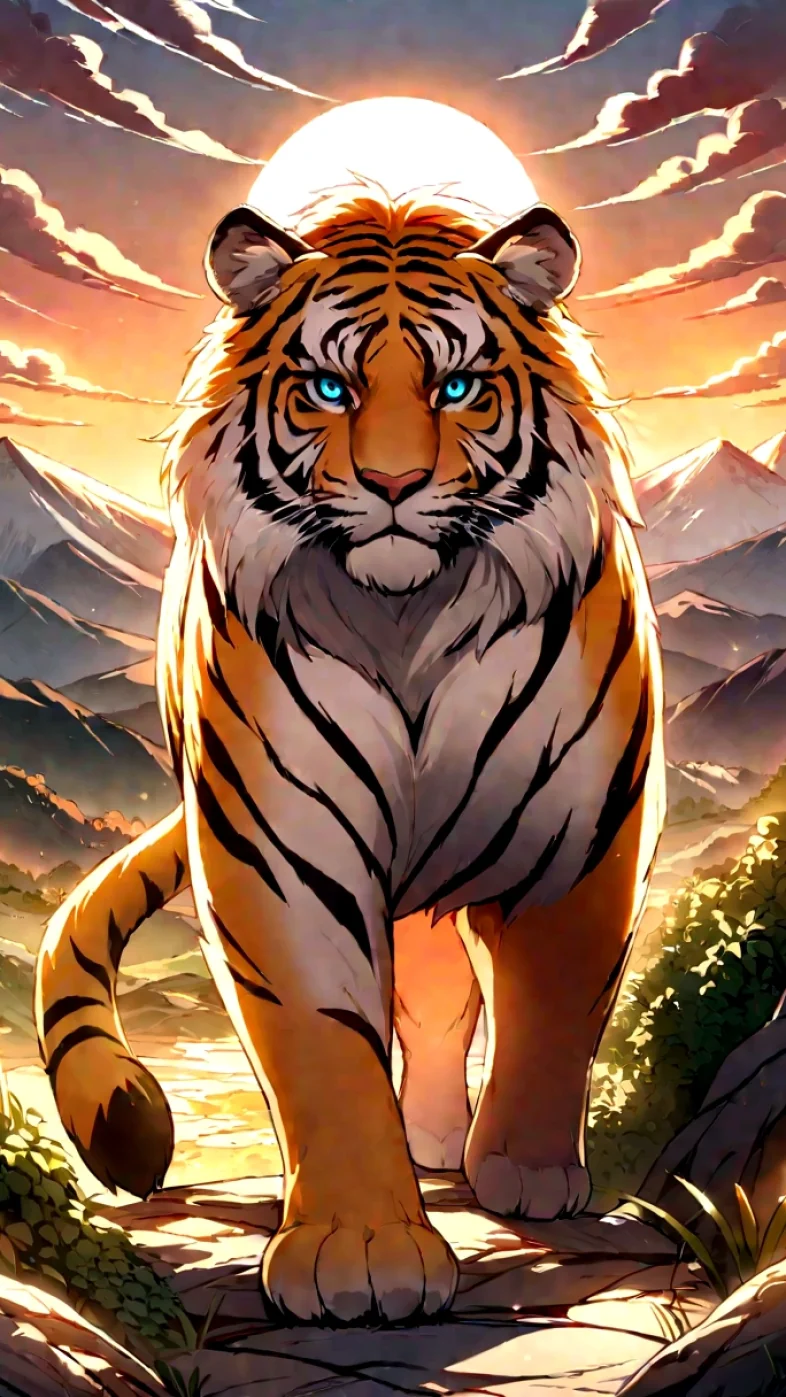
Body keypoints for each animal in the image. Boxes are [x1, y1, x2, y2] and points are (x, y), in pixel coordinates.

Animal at [34, 179, 665, 1327]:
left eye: (459, 386)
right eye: (328, 386)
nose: (394, 482)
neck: (407, 620)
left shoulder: (586, 831)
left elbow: (555, 1003)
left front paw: (527, 1167)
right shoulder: (283, 847)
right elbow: (328, 1037)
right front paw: (361, 1247)